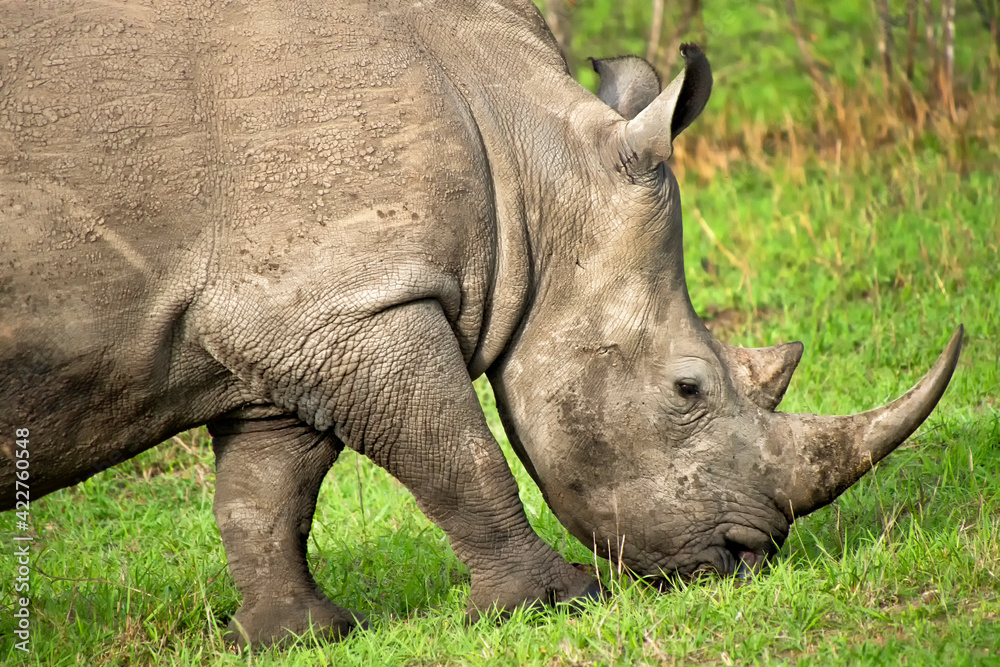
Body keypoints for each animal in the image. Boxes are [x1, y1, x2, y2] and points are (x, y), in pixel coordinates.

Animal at [1, 0, 962, 648]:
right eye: (687, 387)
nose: (750, 554)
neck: (527, 158)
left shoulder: (295, 312)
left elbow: (267, 492)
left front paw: (298, 636)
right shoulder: (354, 303)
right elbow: (459, 451)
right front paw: (556, 600)